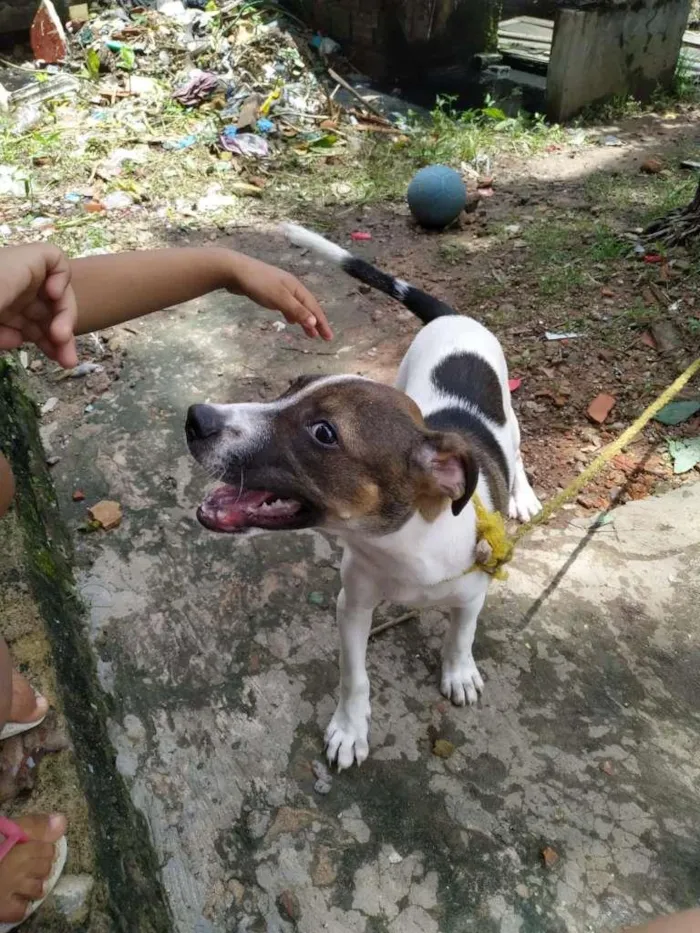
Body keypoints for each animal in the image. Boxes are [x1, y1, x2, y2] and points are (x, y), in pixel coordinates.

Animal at [186, 222, 540, 768]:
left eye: (324, 433)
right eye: (291, 386)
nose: (195, 418)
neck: (404, 544)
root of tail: (453, 316)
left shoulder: (471, 592)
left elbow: (461, 635)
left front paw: (458, 671)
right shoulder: (351, 605)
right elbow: (354, 678)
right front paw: (350, 729)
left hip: (509, 411)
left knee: (517, 450)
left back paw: (522, 493)